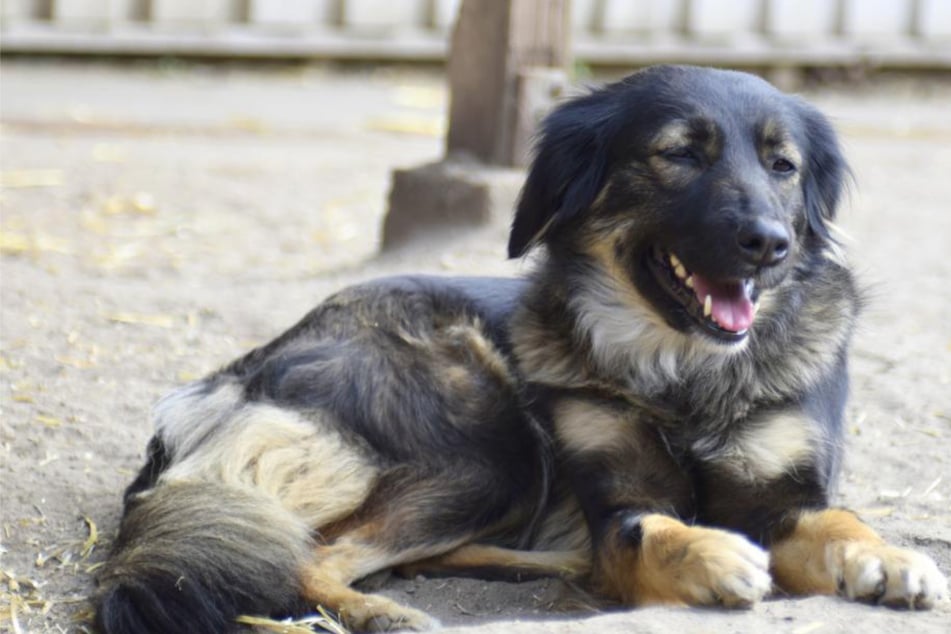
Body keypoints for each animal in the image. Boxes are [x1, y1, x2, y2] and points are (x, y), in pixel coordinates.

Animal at [95, 66, 944, 628]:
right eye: (678, 154)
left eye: (782, 166)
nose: (768, 244)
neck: (681, 374)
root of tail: (234, 377)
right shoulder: (616, 499)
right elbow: (645, 530)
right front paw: (712, 555)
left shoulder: (782, 494)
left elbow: (839, 520)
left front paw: (892, 558)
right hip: (493, 446)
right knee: (313, 552)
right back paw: (382, 612)